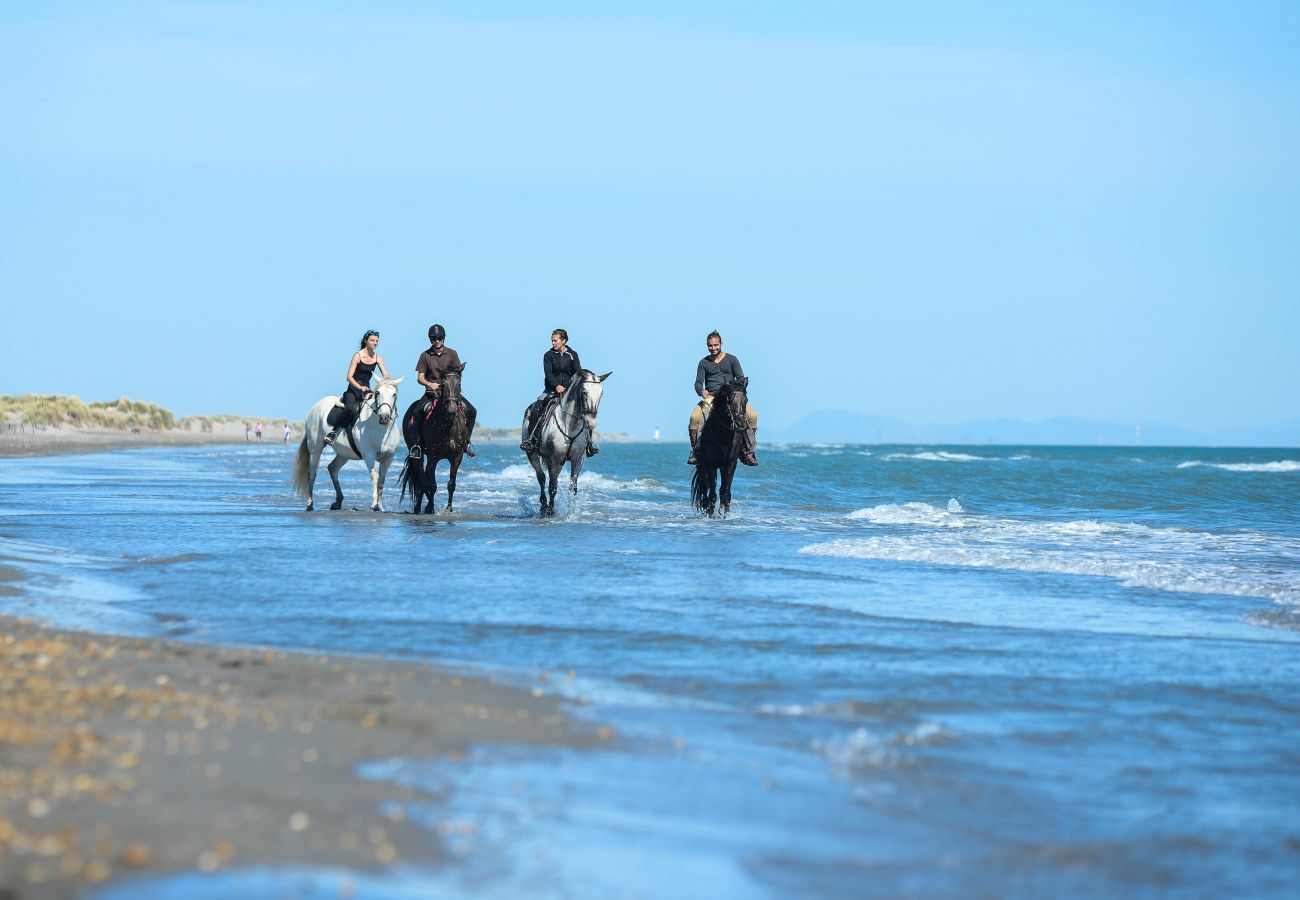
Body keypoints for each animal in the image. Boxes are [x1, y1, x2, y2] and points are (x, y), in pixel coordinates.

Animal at [292, 377, 403, 509]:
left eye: (394, 394)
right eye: (378, 393)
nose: (384, 417)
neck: (381, 429)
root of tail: (315, 407)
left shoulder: (389, 457)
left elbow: (382, 479)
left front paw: (380, 506)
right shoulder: (369, 456)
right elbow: (375, 476)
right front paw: (373, 503)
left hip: (344, 453)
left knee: (333, 468)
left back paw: (338, 501)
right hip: (315, 449)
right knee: (312, 473)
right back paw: (310, 503)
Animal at [403, 366, 475, 512]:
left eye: (459, 384)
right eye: (443, 385)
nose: (452, 410)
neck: (448, 426)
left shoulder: (457, 457)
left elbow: (451, 484)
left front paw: (449, 508)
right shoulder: (433, 457)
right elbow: (432, 484)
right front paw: (430, 508)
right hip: (418, 455)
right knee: (421, 477)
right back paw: (419, 507)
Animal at [520, 369, 611, 517]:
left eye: (601, 393)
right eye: (584, 392)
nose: (591, 423)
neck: (570, 424)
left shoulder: (577, 460)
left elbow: (572, 488)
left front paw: (570, 512)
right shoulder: (553, 459)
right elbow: (552, 487)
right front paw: (551, 512)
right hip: (532, 454)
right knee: (541, 477)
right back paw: (544, 507)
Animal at [691, 379, 754, 517]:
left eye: (746, 400)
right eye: (729, 400)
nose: (741, 423)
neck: (724, 435)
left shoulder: (730, 464)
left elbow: (725, 493)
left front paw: (725, 516)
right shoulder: (710, 464)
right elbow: (712, 494)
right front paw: (710, 515)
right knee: (705, 488)